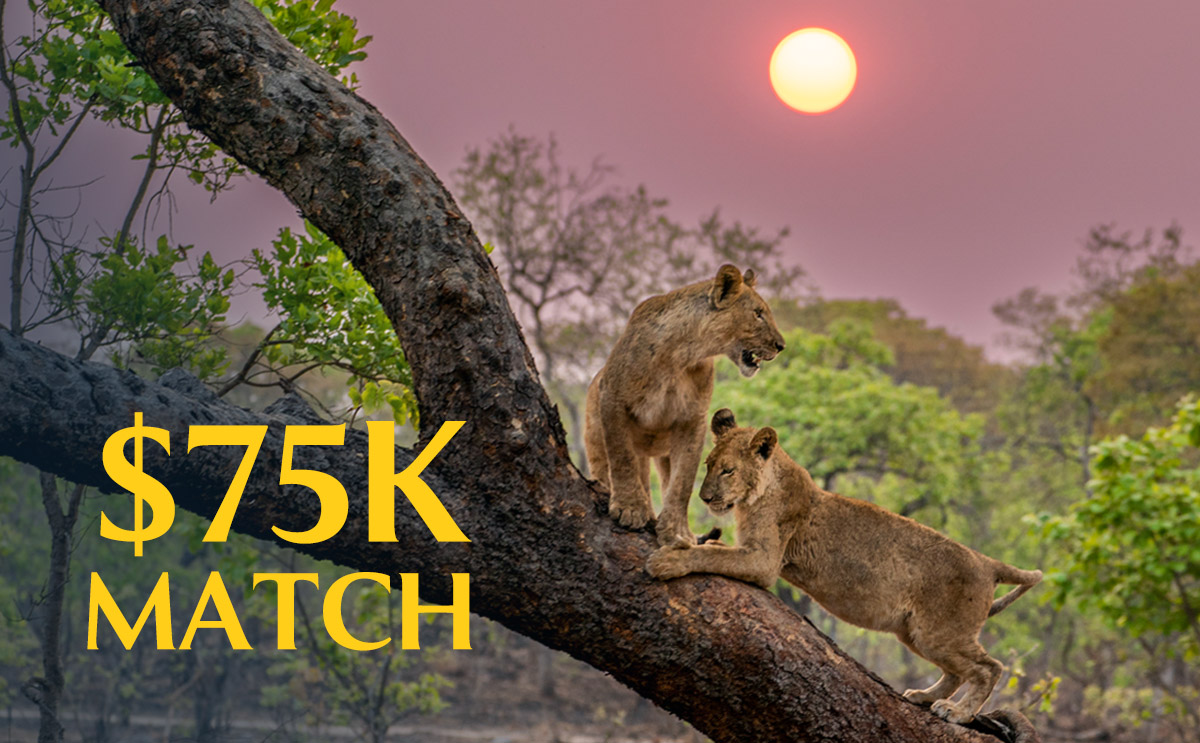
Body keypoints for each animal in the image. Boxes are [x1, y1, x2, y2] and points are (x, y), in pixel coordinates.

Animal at [584, 265, 785, 546]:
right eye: (758, 314)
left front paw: (678, 531)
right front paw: (630, 508)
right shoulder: (613, 396)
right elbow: (621, 456)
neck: (682, 355)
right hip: (595, 431)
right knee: (610, 464)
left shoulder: (693, 419)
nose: (781, 346)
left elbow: (682, 481)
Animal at [647, 408, 1043, 724]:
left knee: (990, 668)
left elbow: (712, 557)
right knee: (957, 672)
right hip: (916, 633)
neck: (758, 492)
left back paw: (958, 712)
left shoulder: (764, 562)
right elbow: (718, 549)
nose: (705, 497)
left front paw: (668, 559)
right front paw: (700, 542)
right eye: (708, 466)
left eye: (728, 470)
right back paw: (925, 697)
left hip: (940, 632)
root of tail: (988, 562)